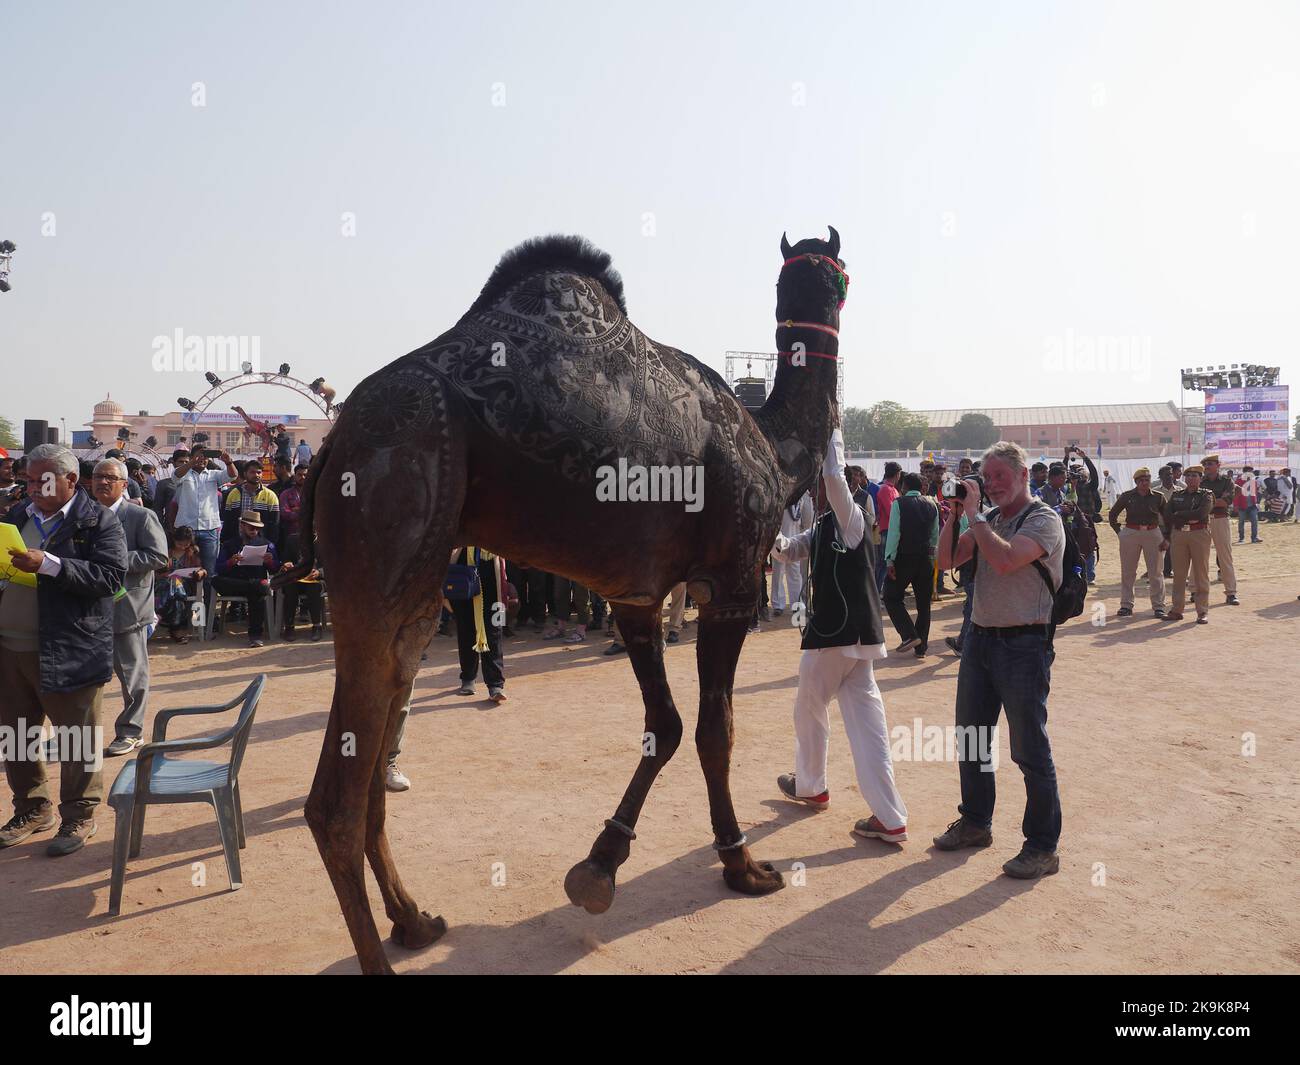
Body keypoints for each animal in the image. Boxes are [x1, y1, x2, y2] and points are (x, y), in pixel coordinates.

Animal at [289, 227, 847, 972]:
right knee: (334, 804)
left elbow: (665, 724)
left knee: (381, 740)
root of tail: (331, 446)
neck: (775, 452)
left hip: (414, 589)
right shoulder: (729, 584)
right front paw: (744, 865)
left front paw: (597, 868)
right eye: (836, 275)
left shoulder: (634, 597)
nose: (825, 288)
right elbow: (714, 729)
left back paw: (416, 921)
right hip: (392, 510)